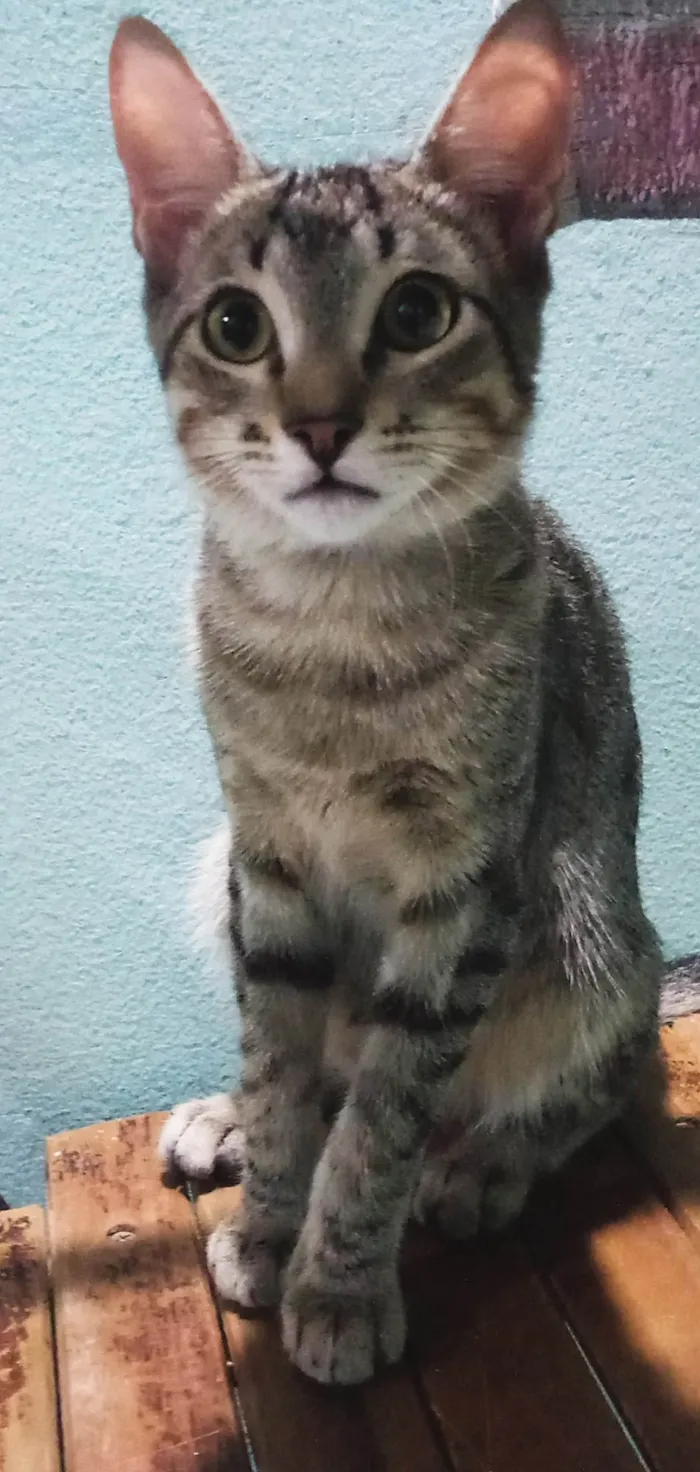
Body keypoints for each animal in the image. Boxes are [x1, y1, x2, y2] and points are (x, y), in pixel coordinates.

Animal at [109, 0, 699, 1386]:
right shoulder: (266, 861)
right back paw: (223, 1117)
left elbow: (382, 1113)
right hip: (222, 869)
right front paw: (269, 1217)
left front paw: (337, 1280)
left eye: (419, 309)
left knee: (596, 1075)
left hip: (585, 927)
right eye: (236, 326)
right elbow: (286, 1064)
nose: (322, 423)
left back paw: (485, 1159)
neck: (328, 635)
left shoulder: (464, 889)